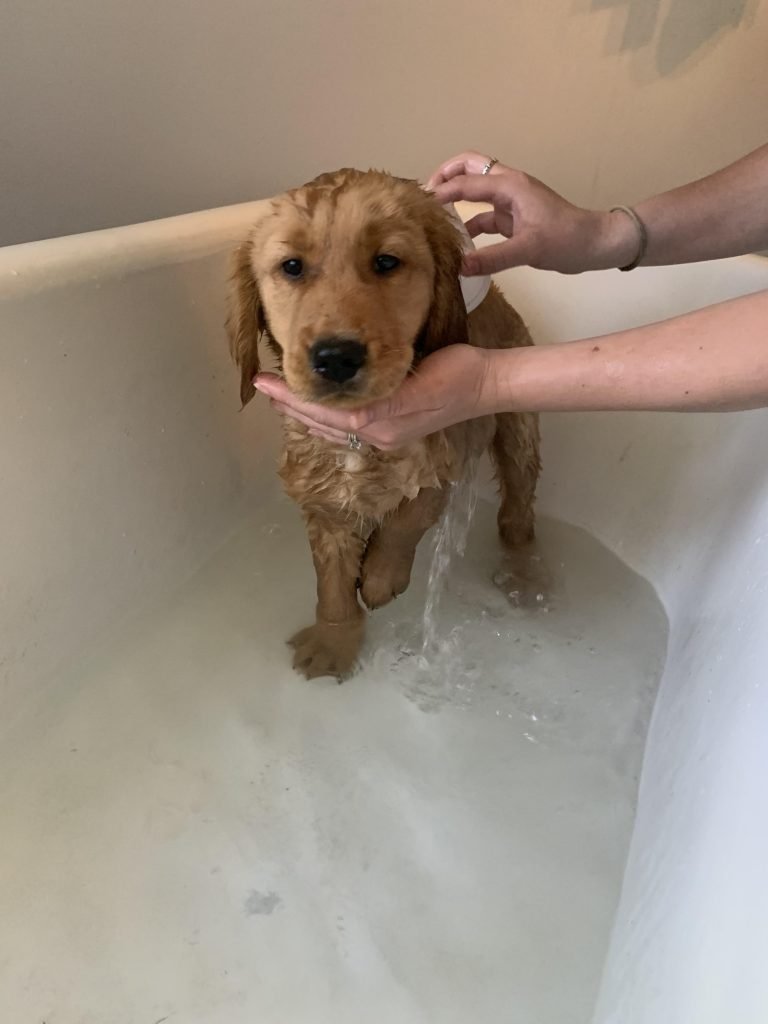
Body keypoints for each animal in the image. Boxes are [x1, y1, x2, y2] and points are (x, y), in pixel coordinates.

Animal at [228, 167, 540, 679]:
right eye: (292, 267)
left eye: (387, 261)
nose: (336, 357)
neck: (358, 442)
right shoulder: (322, 498)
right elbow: (332, 583)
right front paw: (334, 640)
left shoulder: (444, 454)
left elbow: (408, 517)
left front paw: (379, 577)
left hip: (519, 433)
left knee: (518, 510)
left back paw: (524, 573)